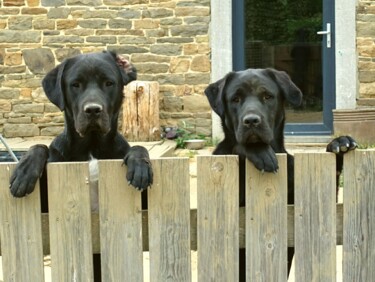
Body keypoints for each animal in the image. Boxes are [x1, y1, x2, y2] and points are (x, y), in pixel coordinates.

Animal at [206, 67, 358, 278]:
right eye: (235, 99)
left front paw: (339, 143)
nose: (251, 121)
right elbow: (238, 145)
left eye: (267, 96)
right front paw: (260, 152)